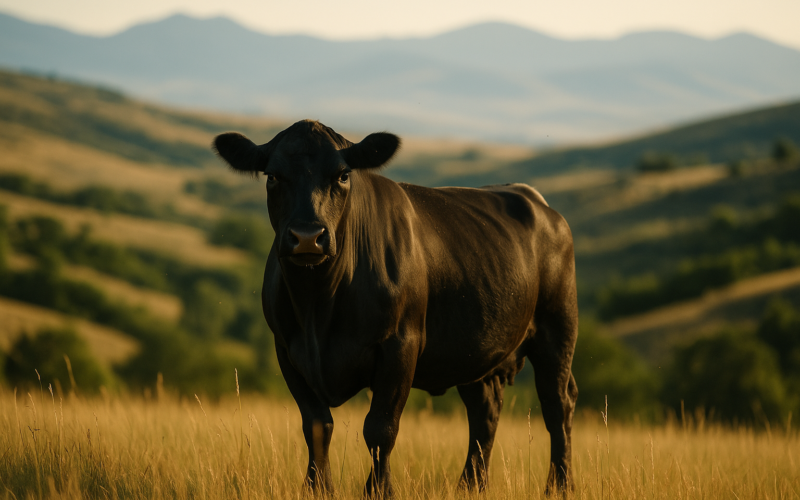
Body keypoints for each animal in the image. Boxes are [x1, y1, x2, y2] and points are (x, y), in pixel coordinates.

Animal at [213, 120, 579, 497]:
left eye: (343, 175)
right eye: (272, 176)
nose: (307, 237)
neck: (319, 308)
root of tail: (533, 199)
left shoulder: (401, 345)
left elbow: (380, 428)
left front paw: (378, 491)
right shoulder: (287, 350)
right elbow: (316, 426)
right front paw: (317, 489)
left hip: (557, 329)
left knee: (558, 405)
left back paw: (559, 486)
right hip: (475, 349)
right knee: (485, 411)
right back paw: (470, 486)